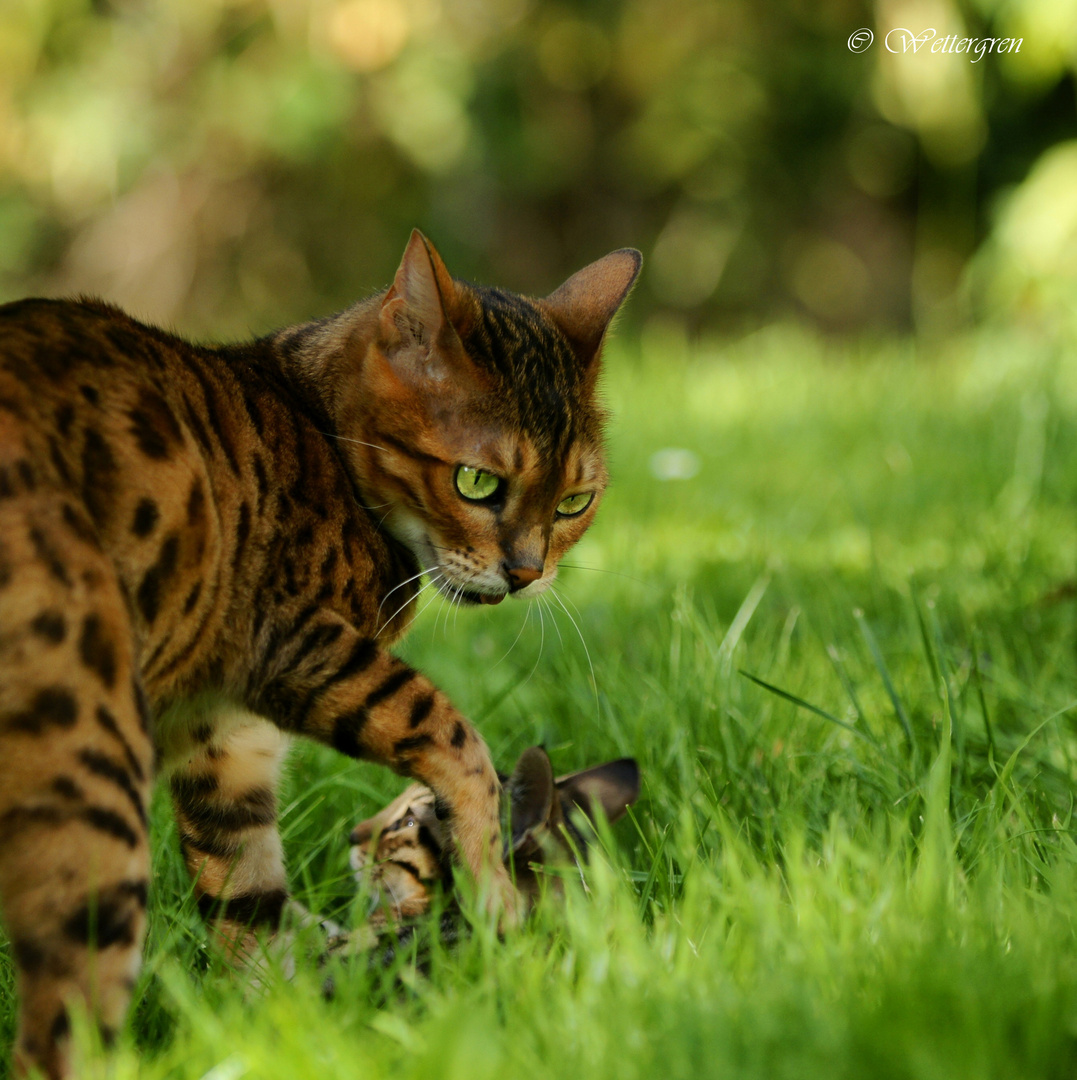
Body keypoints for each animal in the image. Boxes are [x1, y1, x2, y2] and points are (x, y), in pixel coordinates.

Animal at [0, 232, 639, 1075]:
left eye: (573, 503)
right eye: (476, 482)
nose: (527, 574)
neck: (313, 424)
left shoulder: (226, 739)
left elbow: (247, 902)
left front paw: (278, 1029)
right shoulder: (291, 642)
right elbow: (457, 738)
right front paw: (490, 888)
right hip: (92, 773)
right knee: (61, 1028)